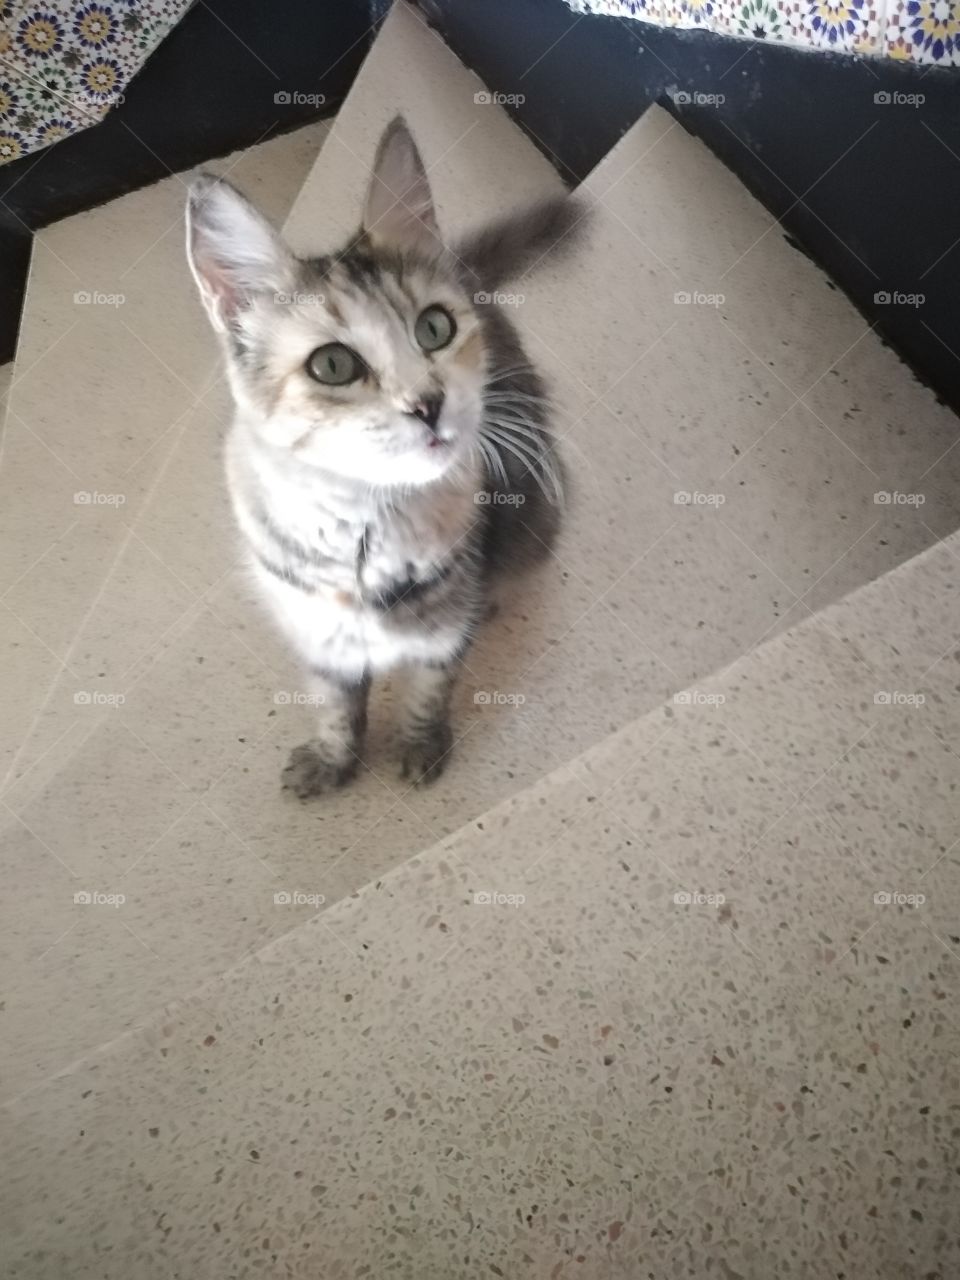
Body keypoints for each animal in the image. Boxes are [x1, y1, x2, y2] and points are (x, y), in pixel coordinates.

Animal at [186, 116, 583, 797]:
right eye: (333, 365)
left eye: (434, 329)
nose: (428, 404)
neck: (367, 524)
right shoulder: (319, 636)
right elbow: (336, 708)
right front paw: (333, 761)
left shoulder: (442, 629)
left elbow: (429, 690)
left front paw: (420, 747)